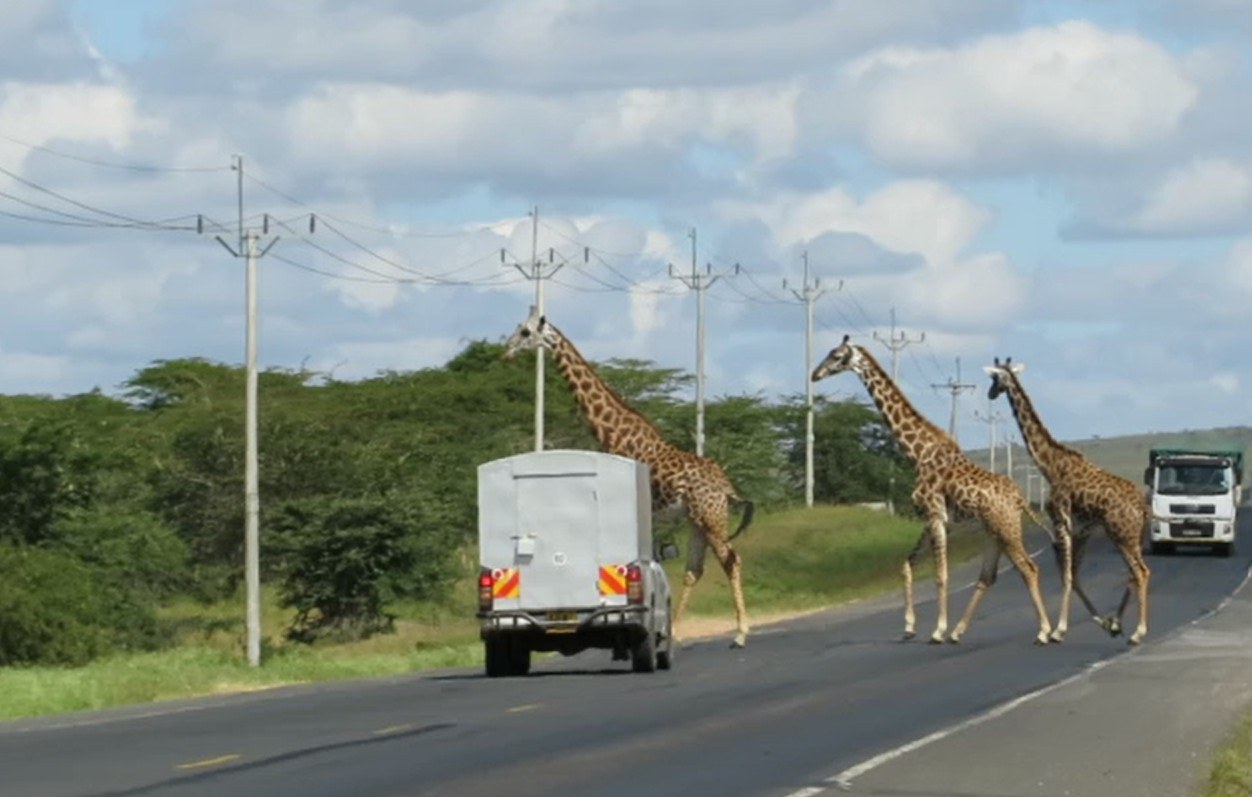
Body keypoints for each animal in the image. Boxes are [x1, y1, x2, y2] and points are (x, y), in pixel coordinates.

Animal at [504, 307, 756, 648]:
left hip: (711, 516)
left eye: (526, 333)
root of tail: (726, 486)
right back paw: (677, 631)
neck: (614, 433)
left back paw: (740, 634)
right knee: (694, 569)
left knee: (731, 561)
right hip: (697, 520)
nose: (506, 351)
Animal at [812, 336, 1053, 645]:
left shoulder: (936, 515)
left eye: (837, 355)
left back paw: (1044, 631)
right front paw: (909, 627)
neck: (918, 453)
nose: (814, 374)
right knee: (989, 576)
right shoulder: (932, 518)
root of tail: (1020, 497)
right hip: (993, 531)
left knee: (1029, 568)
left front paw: (937, 630)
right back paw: (960, 631)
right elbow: (907, 565)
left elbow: (941, 576)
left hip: (1006, 526)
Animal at [985, 358, 1151, 645]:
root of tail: (1142, 505)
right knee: (1135, 573)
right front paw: (1103, 623)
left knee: (1140, 572)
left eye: (995, 379)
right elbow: (1074, 575)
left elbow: (1066, 575)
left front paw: (1057, 630)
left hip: (1122, 534)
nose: (990, 393)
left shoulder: (1060, 520)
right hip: (1131, 536)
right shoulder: (1082, 528)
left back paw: (1138, 632)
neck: (1050, 465)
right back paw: (1118, 623)